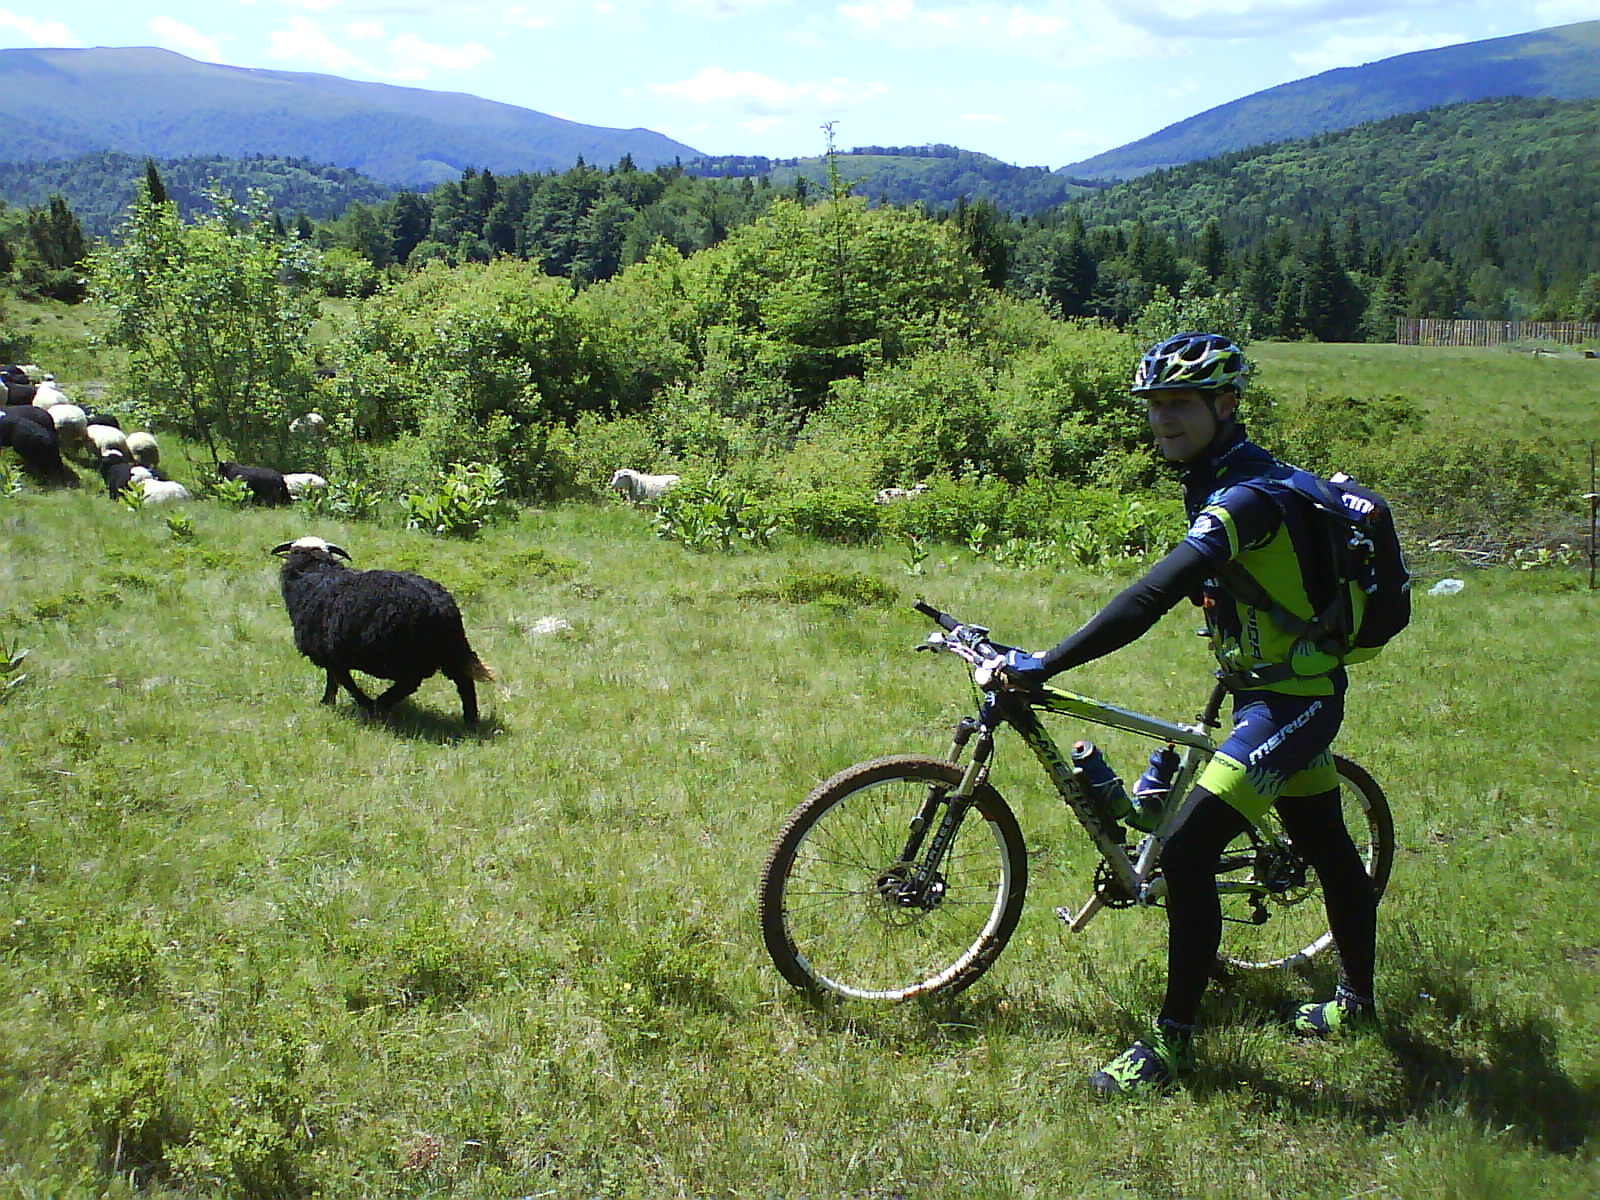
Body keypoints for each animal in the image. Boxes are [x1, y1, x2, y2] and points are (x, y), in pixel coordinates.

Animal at [270, 536, 493, 726]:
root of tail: (442, 607)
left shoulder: (331, 652)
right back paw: (470, 720)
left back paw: (379, 705)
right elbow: (334, 679)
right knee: (463, 681)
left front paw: (359, 703)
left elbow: (343, 680)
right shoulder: (332, 654)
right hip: (448, 653)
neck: (315, 571)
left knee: (410, 683)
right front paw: (328, 702)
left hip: (401, 655)